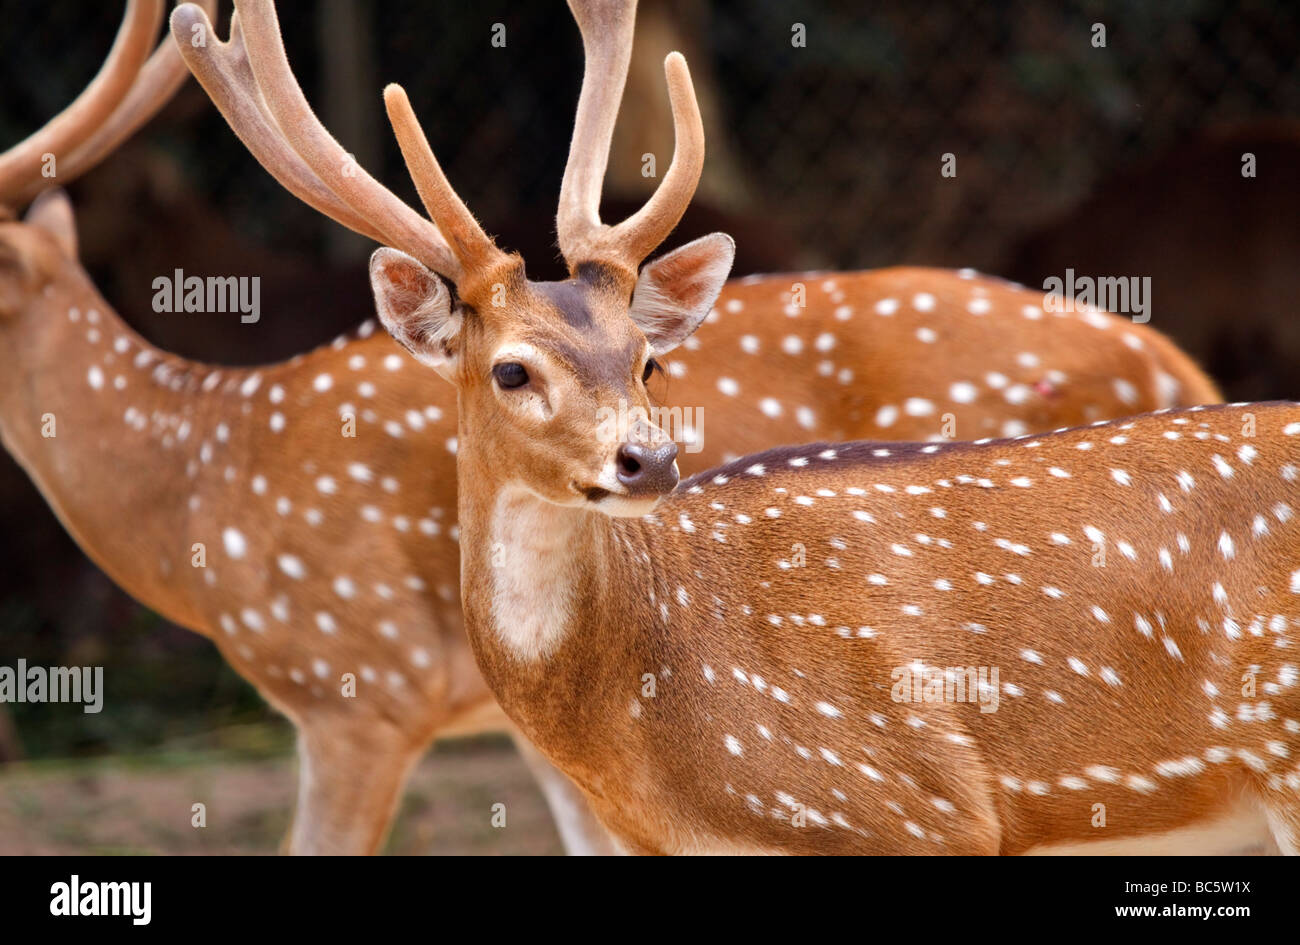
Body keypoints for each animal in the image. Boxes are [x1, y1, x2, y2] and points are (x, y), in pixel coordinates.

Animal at [1, 0, 1220, 855]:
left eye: (648, 358)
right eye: (511, 368)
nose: (653, 456)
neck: (200, 484)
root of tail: (1167, 357)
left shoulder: (362, 684)